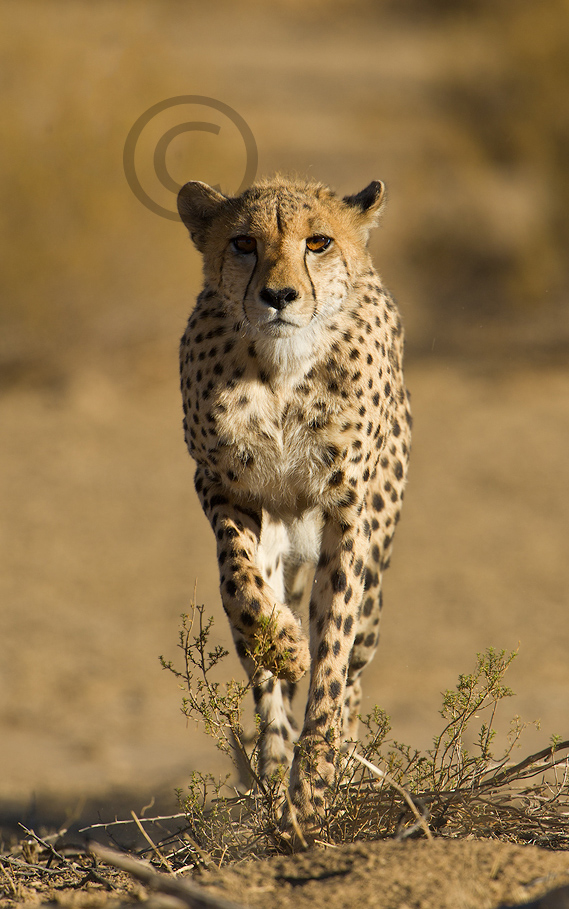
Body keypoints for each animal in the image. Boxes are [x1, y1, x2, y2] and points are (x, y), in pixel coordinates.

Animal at [177, 174, 411, 835]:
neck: (283, 365)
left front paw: (316, 787)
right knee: (258, 661)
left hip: (376, 574)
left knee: (355, 664)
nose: (278, 296)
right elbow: (243, 585)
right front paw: (285, 646)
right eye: (243, 243)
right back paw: (271, 767)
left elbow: (332, 654)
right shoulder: (223, 485)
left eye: (318, 242)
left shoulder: (348, 511)